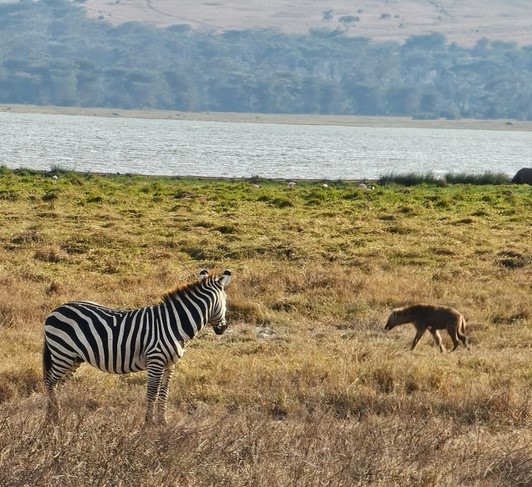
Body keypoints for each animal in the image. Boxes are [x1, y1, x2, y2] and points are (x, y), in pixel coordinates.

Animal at [42, 268, 231, 426]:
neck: (175, 323)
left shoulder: (170, 365)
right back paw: (51, 418)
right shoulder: (156, 360)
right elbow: (152, 392)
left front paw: (162, 422)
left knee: (57, 384)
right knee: (50, 382)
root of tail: (56, 310)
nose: (223, 328)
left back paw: (57, 415)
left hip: (74, 358)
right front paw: (149, 423)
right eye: (226, 300)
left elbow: (164, 393)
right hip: (62, 352)